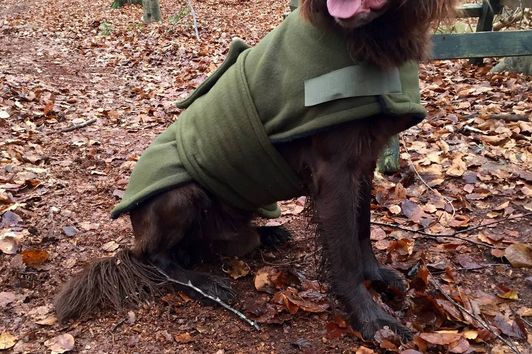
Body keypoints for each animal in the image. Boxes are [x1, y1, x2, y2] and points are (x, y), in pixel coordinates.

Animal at [55, 0, 458, 340]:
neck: (366, 38)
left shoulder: (364, 160)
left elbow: (362, 230)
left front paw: (377, 276)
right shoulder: (334, 171)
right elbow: (344, 255)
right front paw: (371, 319)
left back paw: (268, 234)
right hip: (180, 195)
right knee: (156, 259)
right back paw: (204, 283)